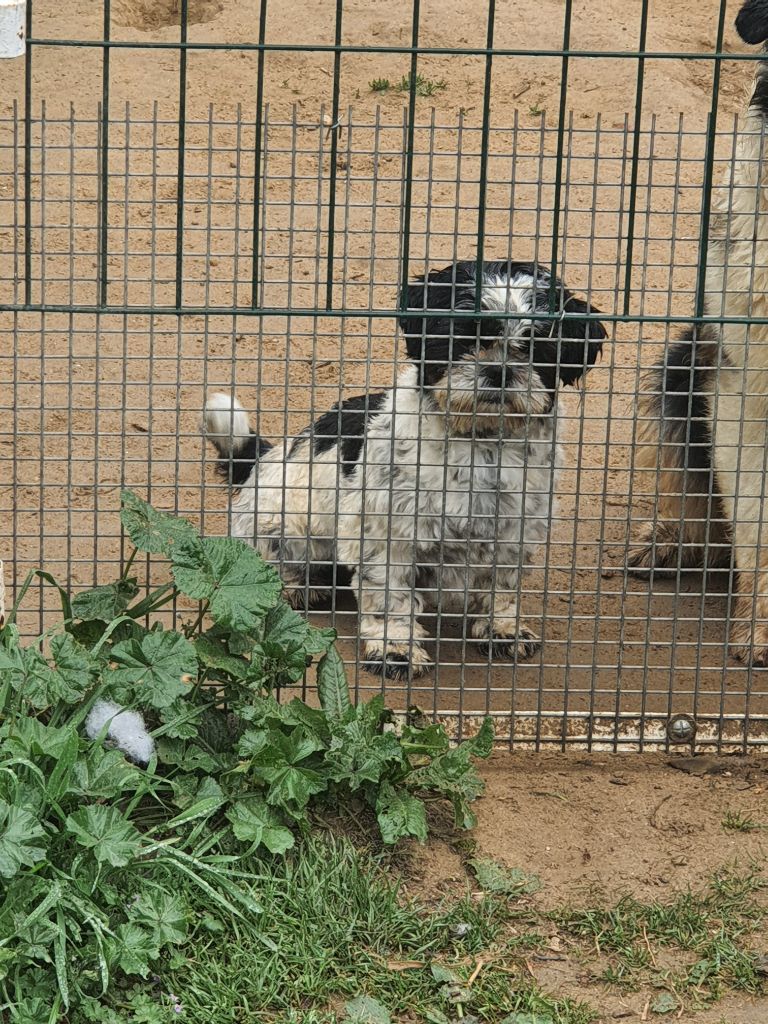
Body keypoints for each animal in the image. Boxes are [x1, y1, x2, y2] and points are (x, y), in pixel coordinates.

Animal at [202, 262, 606, 679]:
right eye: (464, 337)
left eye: (537, 345)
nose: (499, 370)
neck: (479, 444)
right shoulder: (388, 535)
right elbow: (390, 598)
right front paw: (395, 649)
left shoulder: (514, 533)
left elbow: (502, 588)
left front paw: (502, 629)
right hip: (282, 526)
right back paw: (298, 585)